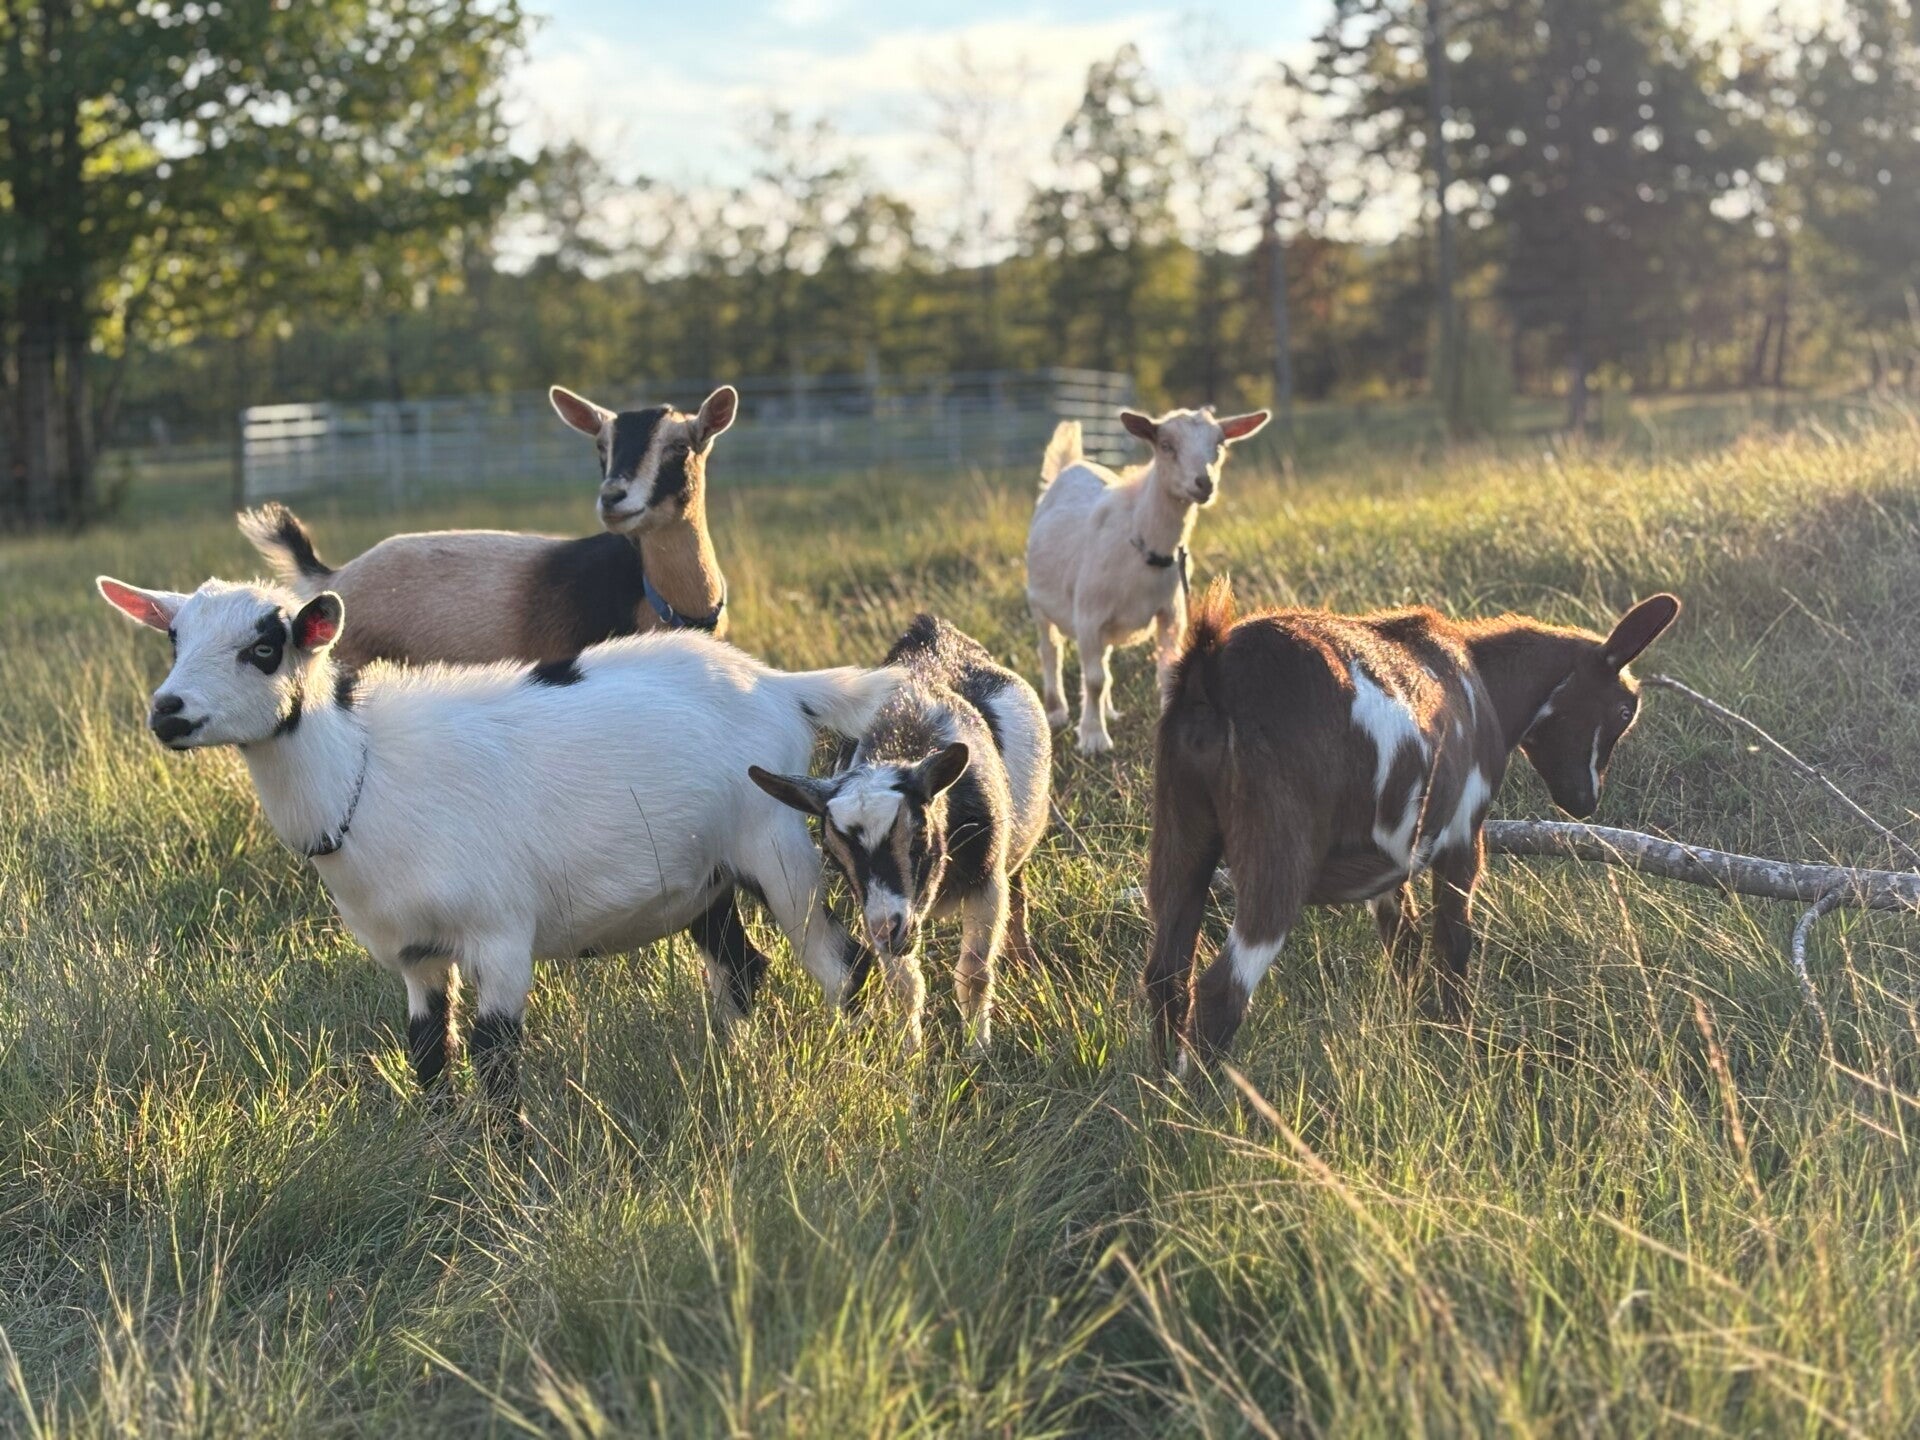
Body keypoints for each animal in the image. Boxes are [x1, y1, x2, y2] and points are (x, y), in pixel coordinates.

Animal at [96, 573, 901, 1113]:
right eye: (174, 637)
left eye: (264, 648)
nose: (167, 711)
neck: (366, 774)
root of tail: (781, 686)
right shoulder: (416, 952)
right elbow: (428, 1050)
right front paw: (437, 1151)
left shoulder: (501, 934)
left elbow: (495, 1053)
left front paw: (507, 1169)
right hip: (704, 877)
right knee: (741, 968)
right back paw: (732, 1067)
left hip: (776, 845)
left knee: (842, 964)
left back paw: (861, 1068)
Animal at [748, 615, 1051, 1053]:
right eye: (833, 857)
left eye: (920, 836)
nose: (889, 931)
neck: (905, 729)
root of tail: (932, 631)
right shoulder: (875, 913)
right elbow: (904, 985)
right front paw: (911, 1054)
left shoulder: (986, 883)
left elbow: (974, 973)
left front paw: (978, 1049)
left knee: (1019, 892)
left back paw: (1023, 961)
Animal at [1026, 403, 1269, 756]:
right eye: (1165, 445)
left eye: (1220, 443)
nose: (1204, 483)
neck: (1142, 543)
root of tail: (1072, 464)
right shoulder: (1088, 616)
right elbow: (1094, 679)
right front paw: (1093, 738)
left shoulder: (1170, 614)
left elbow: (1164, 671)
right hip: (1039, 603)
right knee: (1050, 651)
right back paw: (1056, 711)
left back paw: (1109, 711)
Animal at [1146, 579, 1680, 1066]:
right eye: (1624, 710)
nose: (1585, 801)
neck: (1481, 680)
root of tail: (1212, 673)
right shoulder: (1463, 834)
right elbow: (1453, 941)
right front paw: (1460, 1042)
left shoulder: (1390, 862)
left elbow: (1405, 946)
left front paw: (1418, 1029)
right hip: (1278, 846)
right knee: (1222, 990)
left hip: (1180, 827)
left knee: (1165, 973)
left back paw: (1162, 1090)